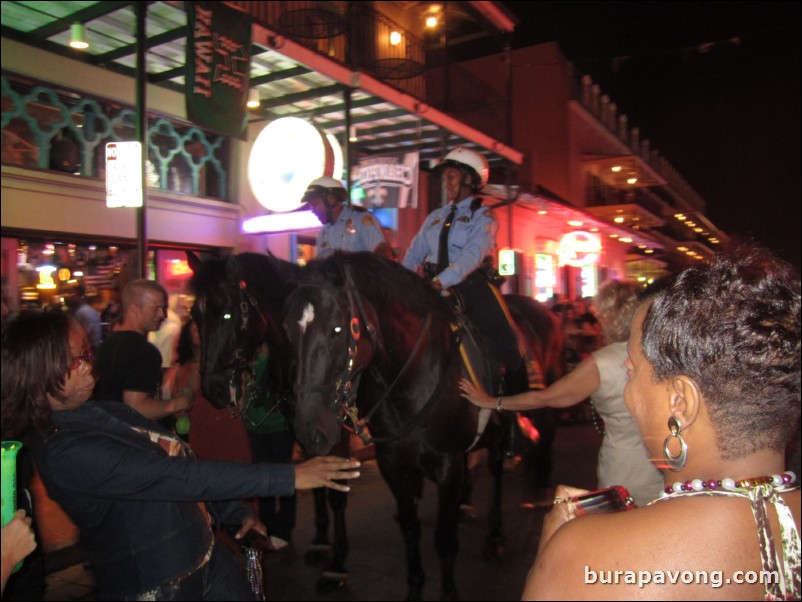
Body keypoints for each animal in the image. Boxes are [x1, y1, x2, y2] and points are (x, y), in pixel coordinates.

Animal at [187, 251, 354, 588]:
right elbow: (318, 480)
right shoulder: (305, 427)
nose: (211, 390)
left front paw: (337, 560)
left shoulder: (335, 432)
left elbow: (337, 492)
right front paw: (320, 540)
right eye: (195, 315)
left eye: (228, 315)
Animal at [282, 251, 564, 596]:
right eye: (287, 330)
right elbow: (410, 529)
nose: (309, 431)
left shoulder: (447, 466)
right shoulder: (394, 466)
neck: (410, 378)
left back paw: (498, 531)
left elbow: (444, 539)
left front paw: (448, 591)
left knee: (501, 467)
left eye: (337, 328)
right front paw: (415, 586)